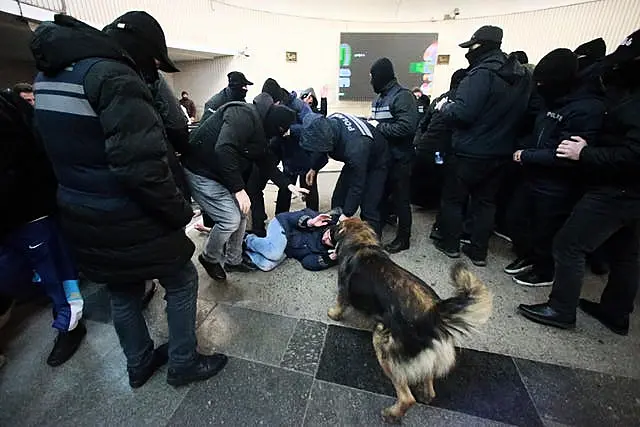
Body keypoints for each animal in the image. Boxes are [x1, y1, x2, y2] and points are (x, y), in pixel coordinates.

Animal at [328, 221, 492, 424]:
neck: (362, 242)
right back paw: (425, 394)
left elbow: (339, 304)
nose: (329, 227)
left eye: (336, 226)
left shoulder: (343, 290)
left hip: (383, 342)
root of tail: (433, 318)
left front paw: (333, 314)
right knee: (428, 381)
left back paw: (392, 414)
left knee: (406, 397)